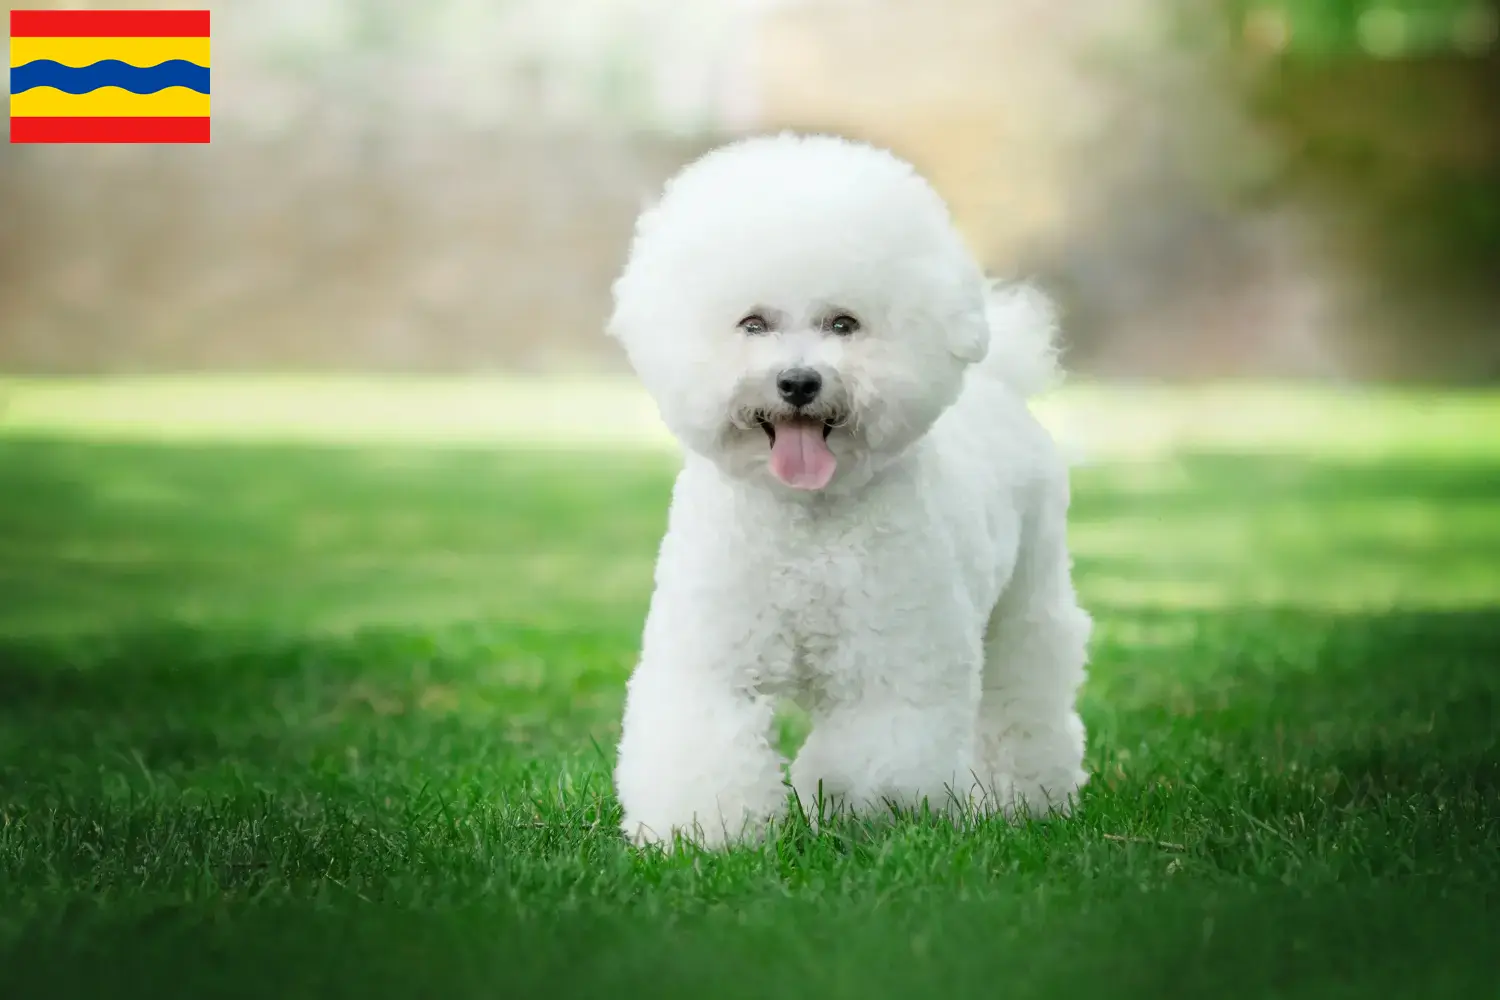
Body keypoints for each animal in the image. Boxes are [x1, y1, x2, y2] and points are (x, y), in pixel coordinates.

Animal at [609, 132, 1092, 851]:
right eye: (752, 324)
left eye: (844, 324)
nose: (799, 382)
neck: (803, 520)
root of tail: (1001, 383)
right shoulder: (710, 655)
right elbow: (701, 740)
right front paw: (702, 835)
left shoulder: (894, 663)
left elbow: (873, 759)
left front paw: (845, 813)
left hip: (1028, 601)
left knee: (1023, 698)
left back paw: (1026, 801)